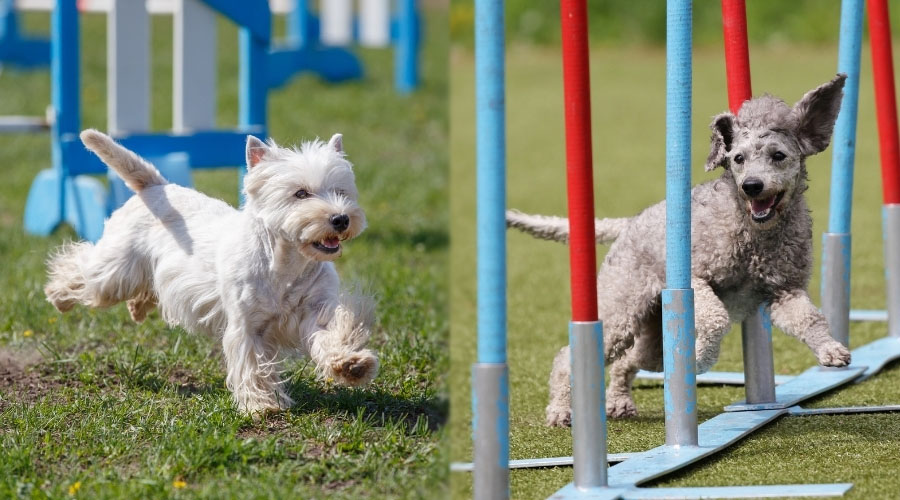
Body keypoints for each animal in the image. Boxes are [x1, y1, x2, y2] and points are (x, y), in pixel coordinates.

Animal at [44, 129, 380, 414]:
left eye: (340, 191)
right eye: (300, 194)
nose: (340, 219)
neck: (287, 265)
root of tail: (157, 185)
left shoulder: (314, 312)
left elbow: (332, 336)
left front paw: (352, 365)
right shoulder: (247, 325)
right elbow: (252, 364)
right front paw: (262, 405)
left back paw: (137, 308)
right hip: (116, 271)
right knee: (81, 270)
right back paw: (57, 296)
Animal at [506, 74, 852, 426]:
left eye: (778, 155)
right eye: (738, 158)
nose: (752, 186)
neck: (752, 232)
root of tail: (628, 223)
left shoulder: (784, 291)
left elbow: (810, 319)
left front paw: (831, 351)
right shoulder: (697, 280)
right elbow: (716, 319)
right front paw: (699, 356)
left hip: (652, 337)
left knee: (629, 360)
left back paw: (619, 402)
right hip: (620, 310)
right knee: (568, 358)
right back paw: (560, 411)